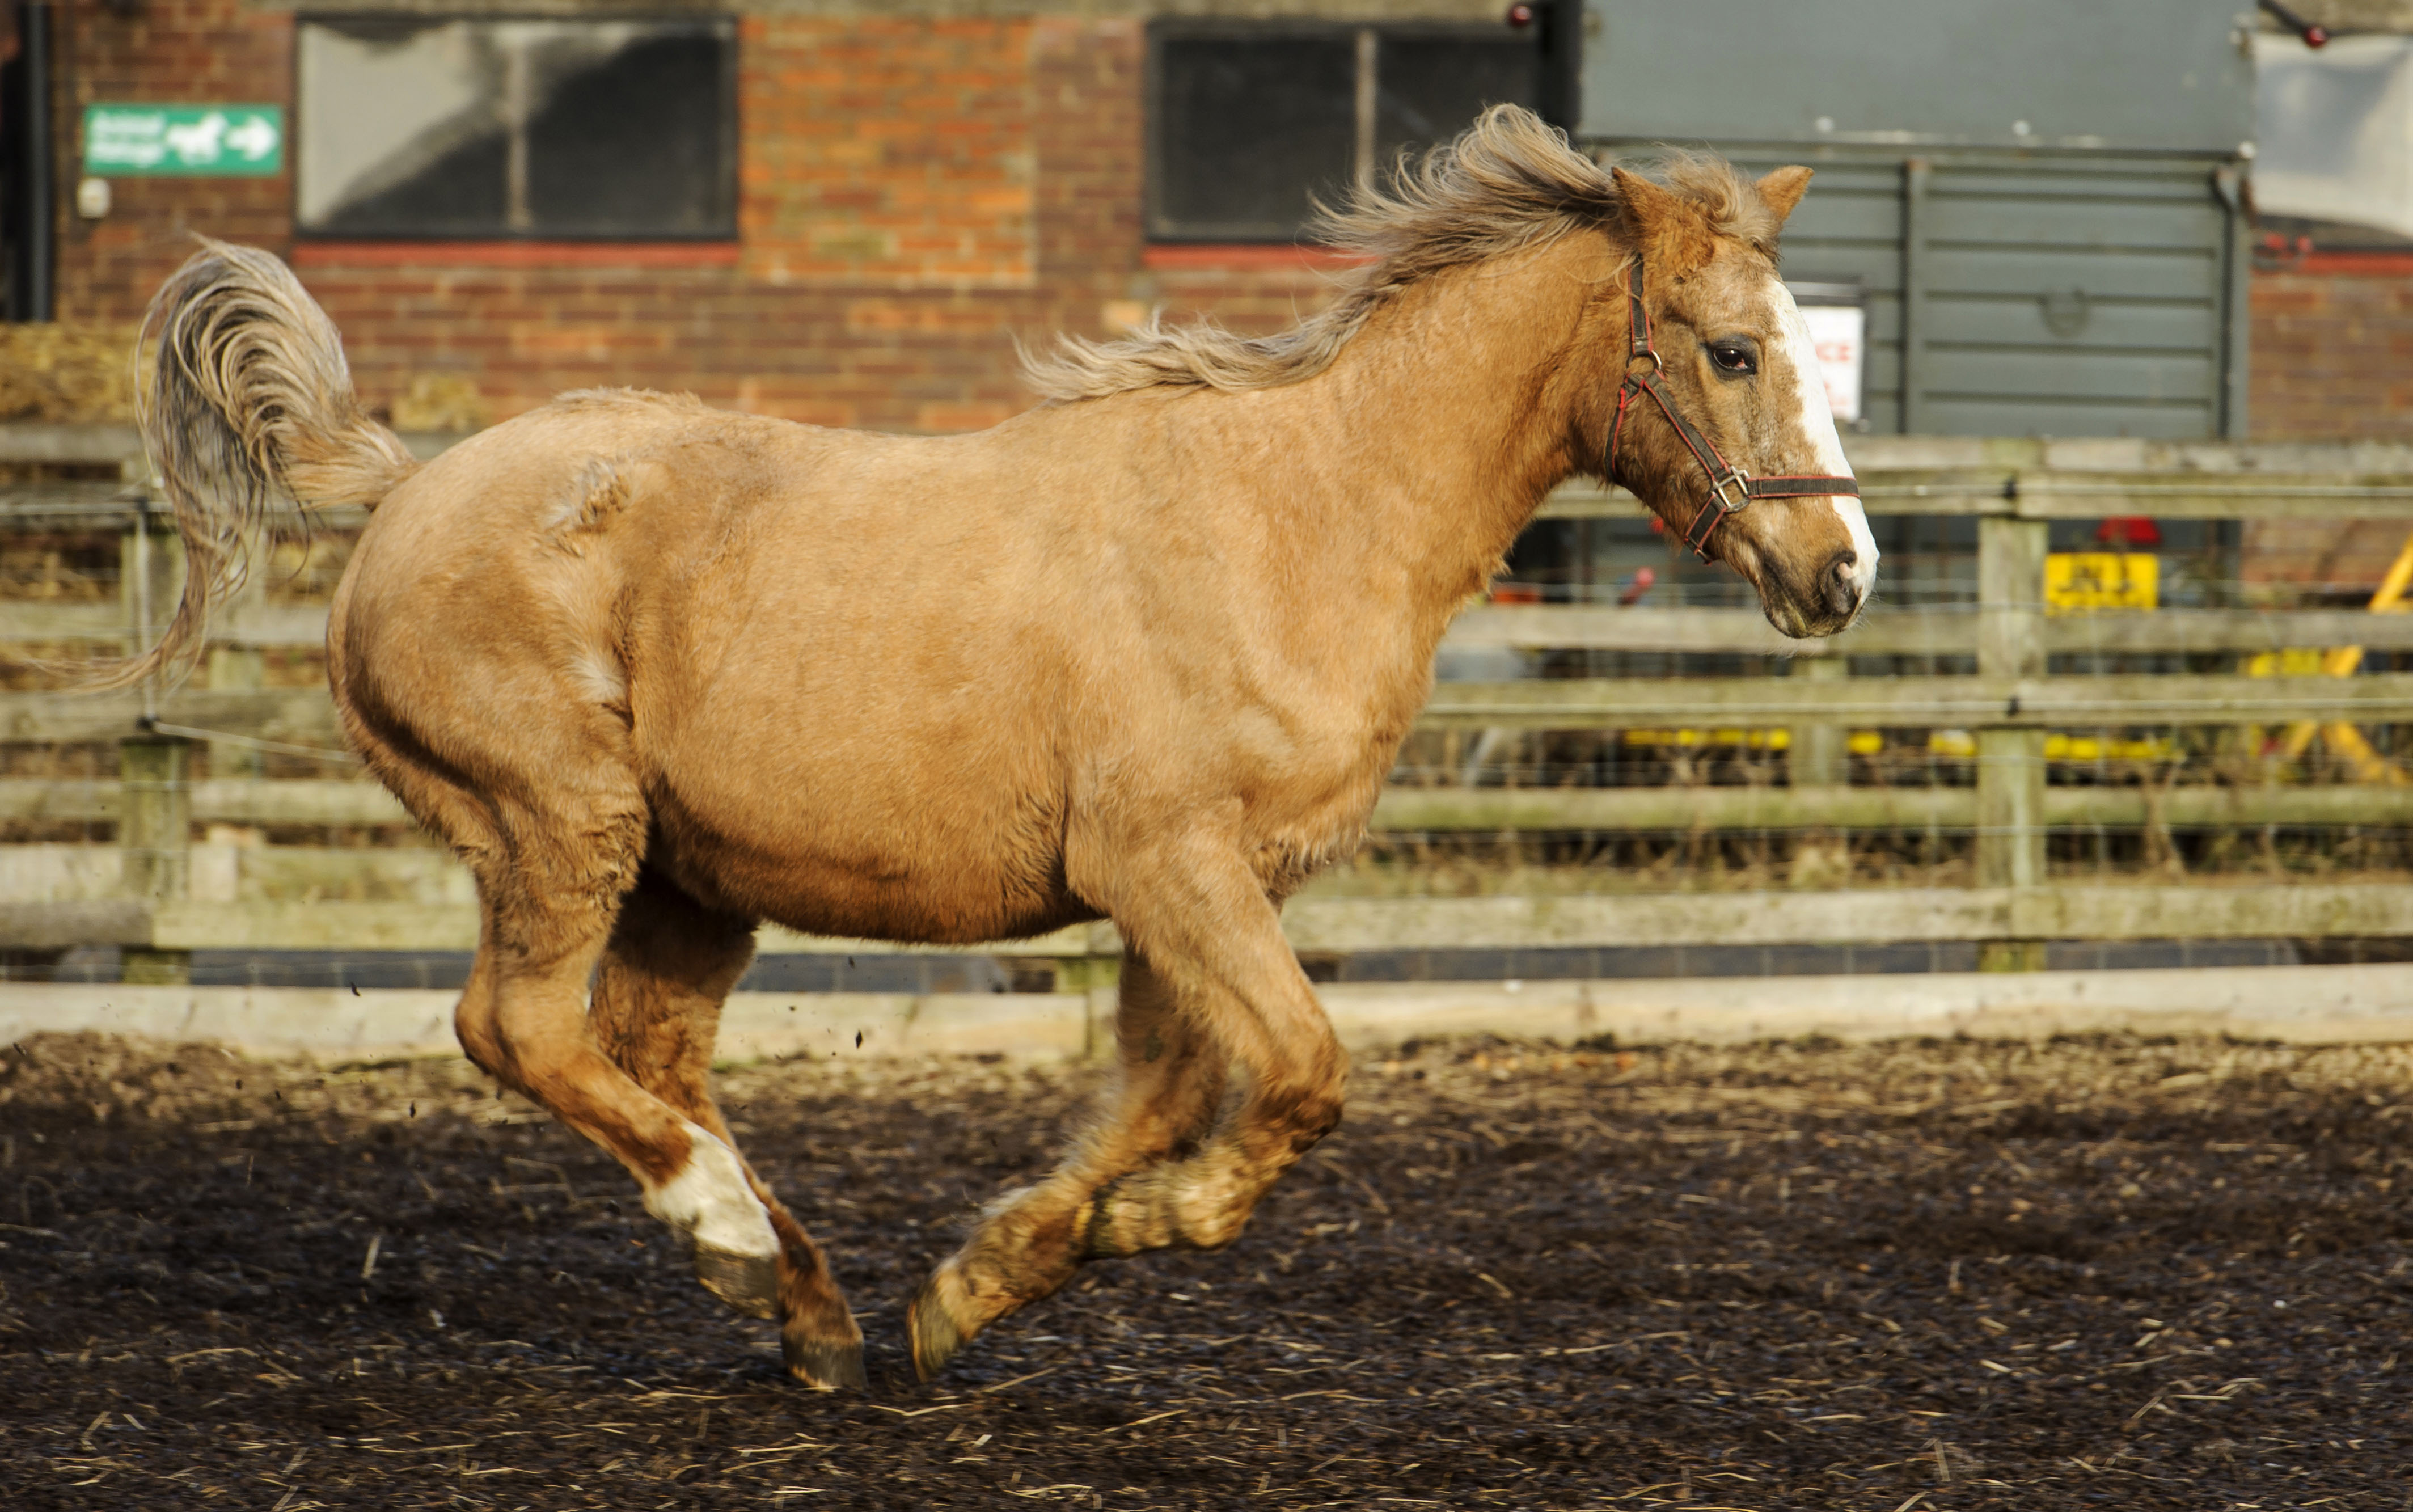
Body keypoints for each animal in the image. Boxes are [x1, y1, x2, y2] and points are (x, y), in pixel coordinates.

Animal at [103, 103, 1872, 1389]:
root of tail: (403, 485)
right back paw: (728, 1234)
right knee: (517, 1027)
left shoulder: (1197, 886)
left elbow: (1169, 1091)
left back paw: (810, 1308)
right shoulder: (1166, 861)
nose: (1839, 569)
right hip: (560, 815)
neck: (1304, 511)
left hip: (692, 875)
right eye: (1729, 350)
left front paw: (980, 1281)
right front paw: (1141, 1224)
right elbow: (1296, 1076)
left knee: (643, 1050)